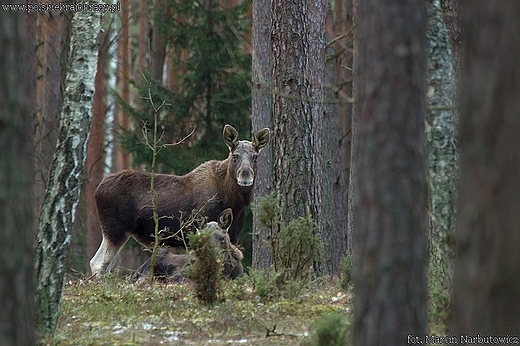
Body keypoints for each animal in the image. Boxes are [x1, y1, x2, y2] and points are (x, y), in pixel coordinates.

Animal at [89, 124, 270, 276]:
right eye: (235, 156)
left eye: (255, 156)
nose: (245, 175)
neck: (235, 202)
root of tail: (97, 190)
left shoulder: (232, 235)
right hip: (115, 230)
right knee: (99, 263)